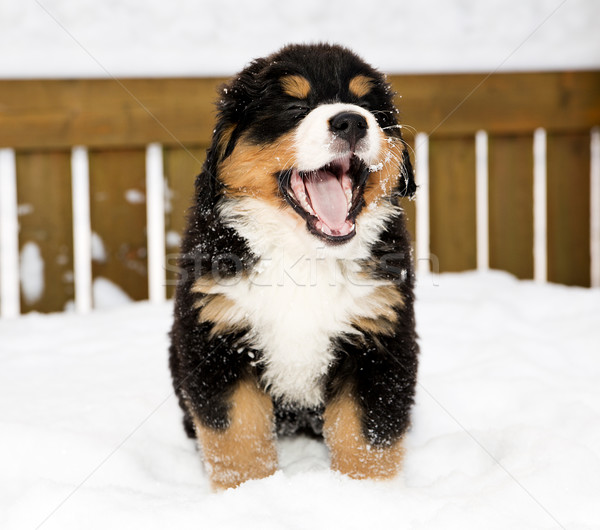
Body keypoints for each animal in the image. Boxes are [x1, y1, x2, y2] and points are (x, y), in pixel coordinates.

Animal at [170, 43, 418, 488]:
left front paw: (367, 493)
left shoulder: (378, 337)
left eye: (367, 105)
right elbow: (237, 435)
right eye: (295, 107)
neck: (304, 256)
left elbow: (367, 437)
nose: (352, 121)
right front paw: (249, 491)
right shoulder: (218, 337)